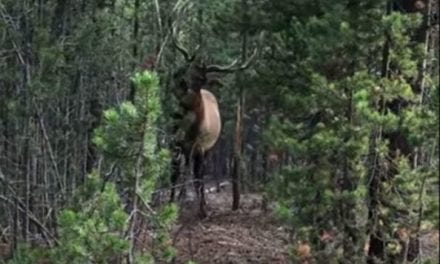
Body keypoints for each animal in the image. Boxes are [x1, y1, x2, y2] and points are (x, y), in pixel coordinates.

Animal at [168, 17, 264, 219]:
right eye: (187, 70)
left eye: (200, 79)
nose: (181, 83)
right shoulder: (177, 142)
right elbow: (175, 173)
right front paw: (172, 202)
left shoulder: (199, 146)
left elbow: (195, 176)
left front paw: (198, 207)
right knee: (184, 171)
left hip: (206, 149)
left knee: (197, 174)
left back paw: (198, 203)